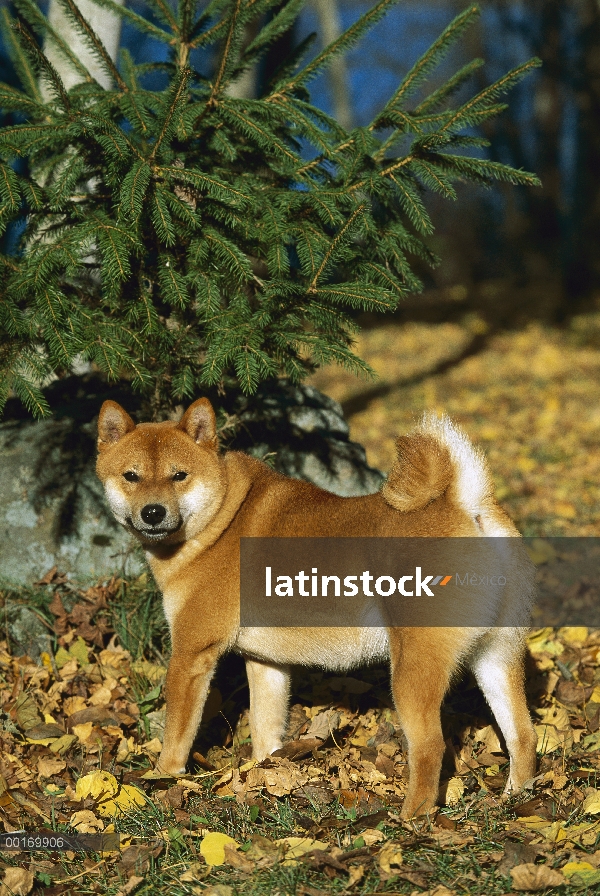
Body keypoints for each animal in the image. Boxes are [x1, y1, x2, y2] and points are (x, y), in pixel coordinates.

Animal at [96, 400, 536, 820]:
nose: (153, 512)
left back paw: (410, 819)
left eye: (179, 476)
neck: (220, 520)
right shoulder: (266, 663)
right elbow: (266, 728)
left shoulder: (191, 654)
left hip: (413, 671)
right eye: (131, 476)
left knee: (430, 746)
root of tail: (466, 506)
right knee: (523, 735)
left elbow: (177, 733)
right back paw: (516, 800)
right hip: (496, 658)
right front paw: (264, 777)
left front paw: (162, 779)